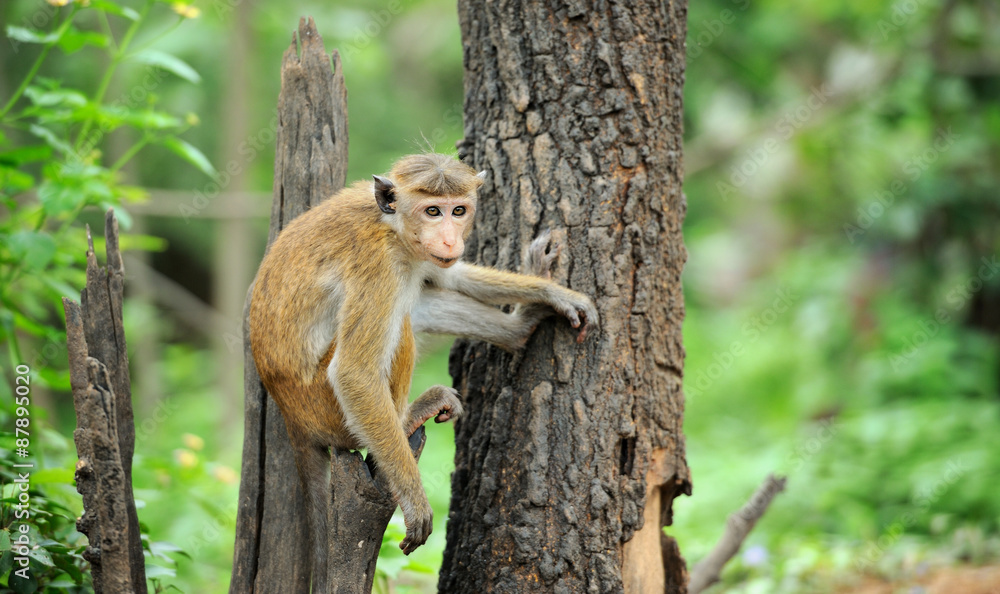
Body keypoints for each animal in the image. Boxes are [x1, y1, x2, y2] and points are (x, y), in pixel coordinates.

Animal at [247, 151, 596, 588]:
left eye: (458, 211)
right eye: (432, 211)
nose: (449, 238)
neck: (392, 227)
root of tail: (291, 414)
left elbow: (450, 274)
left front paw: (550, 291)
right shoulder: (380, 265)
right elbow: (355, 372)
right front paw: (415, 501)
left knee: (419, 299)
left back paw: (517, 330)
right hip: (327, 409)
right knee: (398, 329)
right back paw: (409, 415)